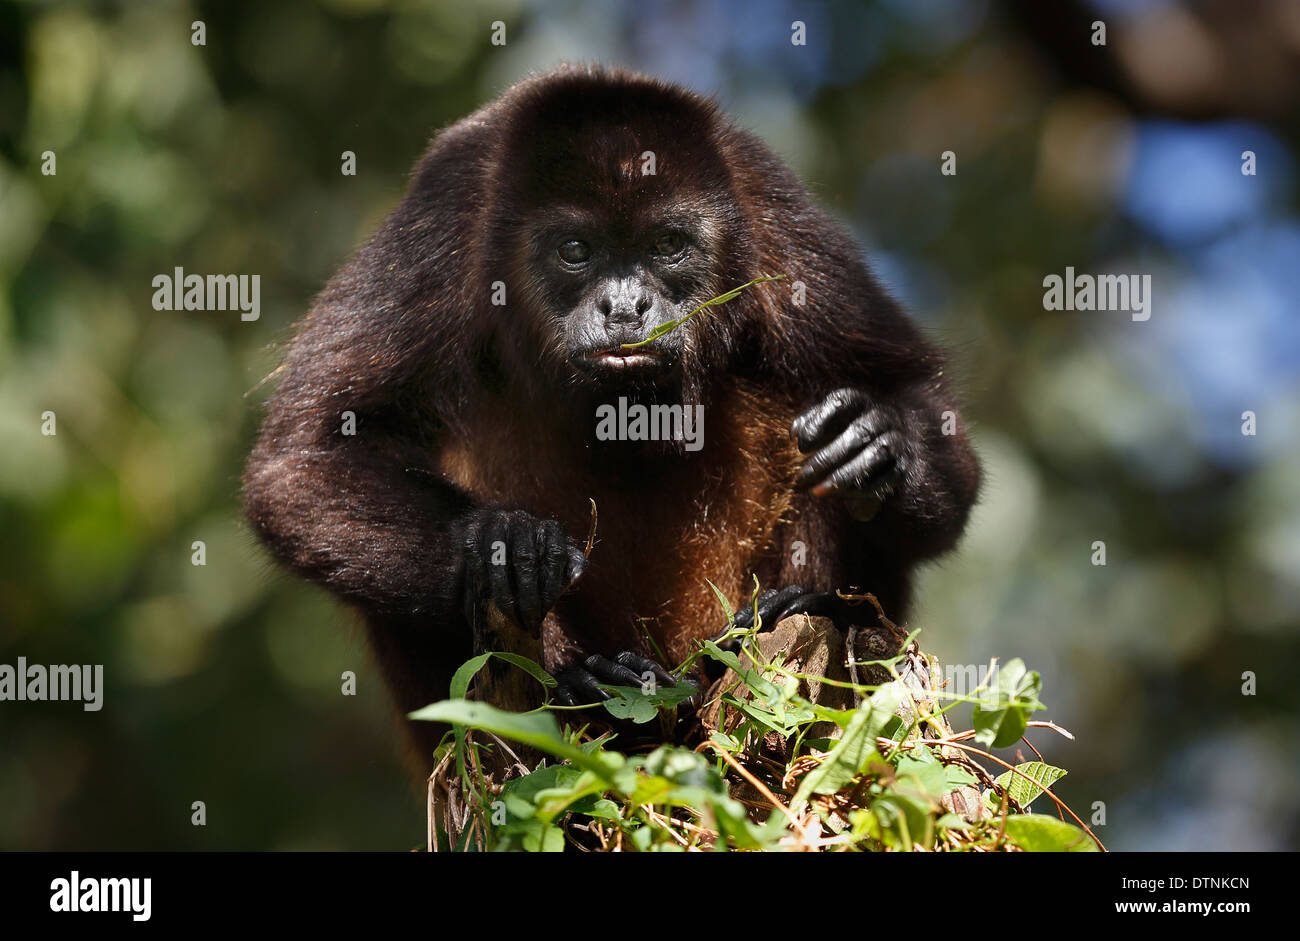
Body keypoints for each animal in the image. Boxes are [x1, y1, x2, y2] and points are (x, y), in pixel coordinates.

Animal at [241, 66, 977, 759]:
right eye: (576, 250)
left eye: (667, 246)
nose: (625, 307)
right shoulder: (444, 217)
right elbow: (304, 460)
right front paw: (503, 541)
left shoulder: (770, 211)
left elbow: (913, 394)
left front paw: (876, 443)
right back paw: (580, 677)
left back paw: (796, 610)